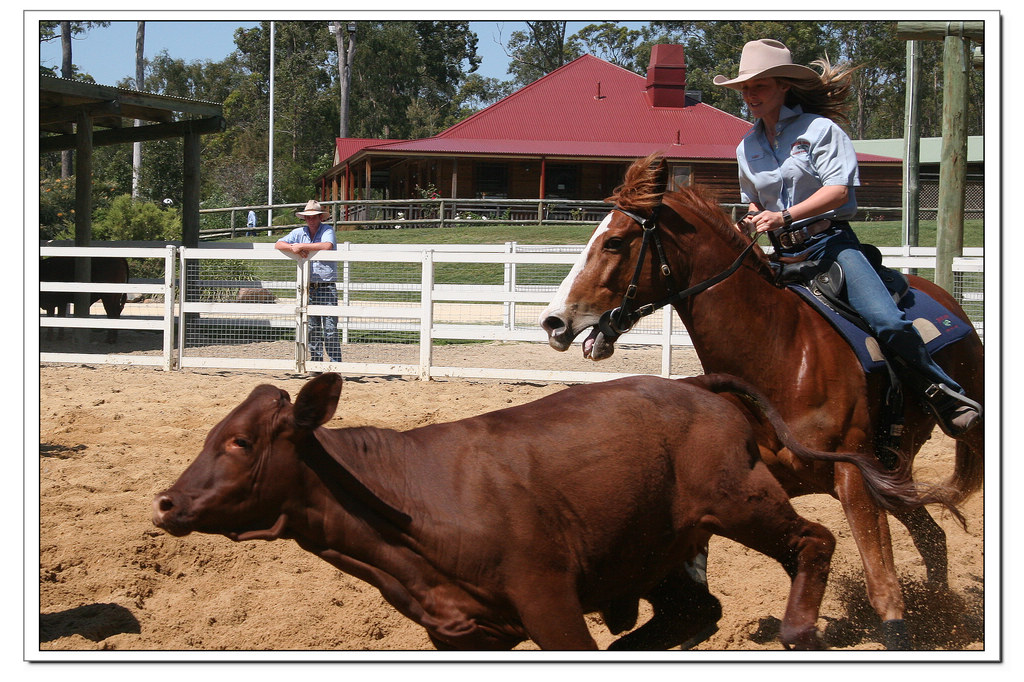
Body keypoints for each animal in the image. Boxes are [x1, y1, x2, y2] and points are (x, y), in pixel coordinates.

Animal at [153, 372, 937, 647]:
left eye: (241, 441)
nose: (166, 502)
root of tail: (699, 386)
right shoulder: (463, 632)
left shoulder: (547, 600)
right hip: (661, 547)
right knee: (692, 611)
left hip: (741, 502)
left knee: (814, 542)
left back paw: (800, 630)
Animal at [540, 153, 987, 647]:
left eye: (616, 242)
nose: (553, 322)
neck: (782, 350)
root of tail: (947, 299)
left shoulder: (853, 474)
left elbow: (881, 578)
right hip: (895, 469)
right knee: (934, 537)